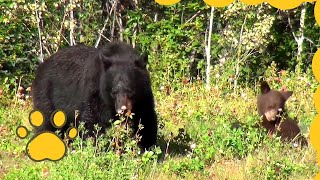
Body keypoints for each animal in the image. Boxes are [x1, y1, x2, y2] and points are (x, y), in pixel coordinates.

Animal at [30, 41, 158, 150]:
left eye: (131, 90)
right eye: (113, 92)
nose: (122, 110)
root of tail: (41, 66)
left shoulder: (144, 97)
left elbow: (146, 119)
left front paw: (147, 147)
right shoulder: (96, 92)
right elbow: (93, 121)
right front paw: (99, 147)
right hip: (46, 94)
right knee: (46, 121)